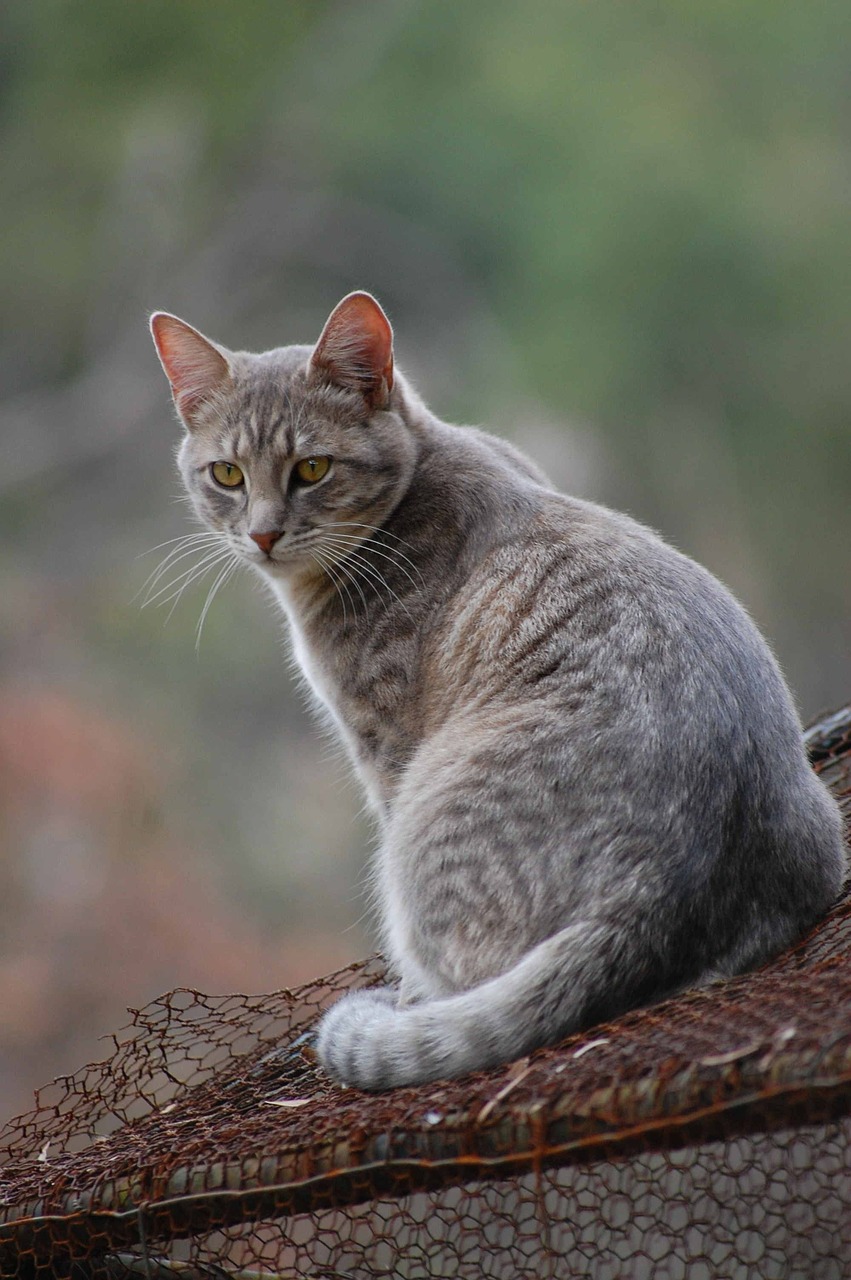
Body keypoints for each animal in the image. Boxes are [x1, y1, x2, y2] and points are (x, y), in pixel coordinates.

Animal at [149, 290, 844, 1090]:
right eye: (227, 475)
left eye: (312, 468)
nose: (262, 535)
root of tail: (651, 897)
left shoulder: (382, 745)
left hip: (424, 817)